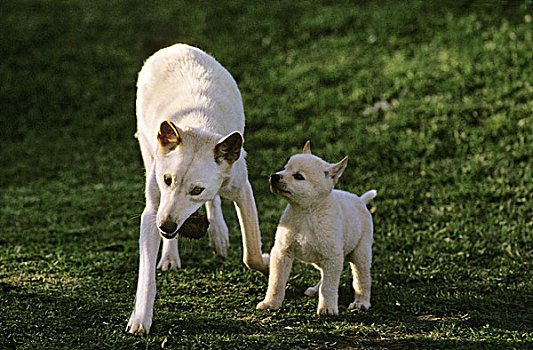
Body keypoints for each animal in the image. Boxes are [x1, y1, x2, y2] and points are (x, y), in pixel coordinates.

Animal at [127, 44, 268, 336]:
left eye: (196, 190)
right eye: (167, 179)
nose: (167, 226)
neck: (199, 128)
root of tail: (176, 47)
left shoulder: (242, 189)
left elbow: (251, 252)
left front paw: (268, 264)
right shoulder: (153, 210)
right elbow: (146, 275)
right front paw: (140, 320)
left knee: (215, 204)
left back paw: (218, 237)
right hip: (146, 151)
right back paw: (171, 256)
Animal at [256, 142, 374, 314]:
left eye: (298, 176)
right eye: (284, 169)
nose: (274, 176)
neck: (306, 213)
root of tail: (360, 200)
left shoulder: (332, 256)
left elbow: (329, 287)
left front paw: (327, 308)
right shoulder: (282, 252)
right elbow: (276, 282)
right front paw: (270, 303)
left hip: (360, 254)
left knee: (362, 280)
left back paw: (361, 302)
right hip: (320, 259)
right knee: (325, 274)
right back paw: (315, 289)